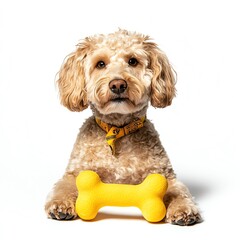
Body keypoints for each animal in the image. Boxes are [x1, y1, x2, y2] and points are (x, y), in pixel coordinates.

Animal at [44, 29, 201, 226]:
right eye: (100, 64)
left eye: (132, 61)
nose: (118, 84)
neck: (118, 130)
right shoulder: (75, 173)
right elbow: (64, 186)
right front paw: (60, 205)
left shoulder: (165, 175)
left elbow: (178, 191)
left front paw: (183, 209)